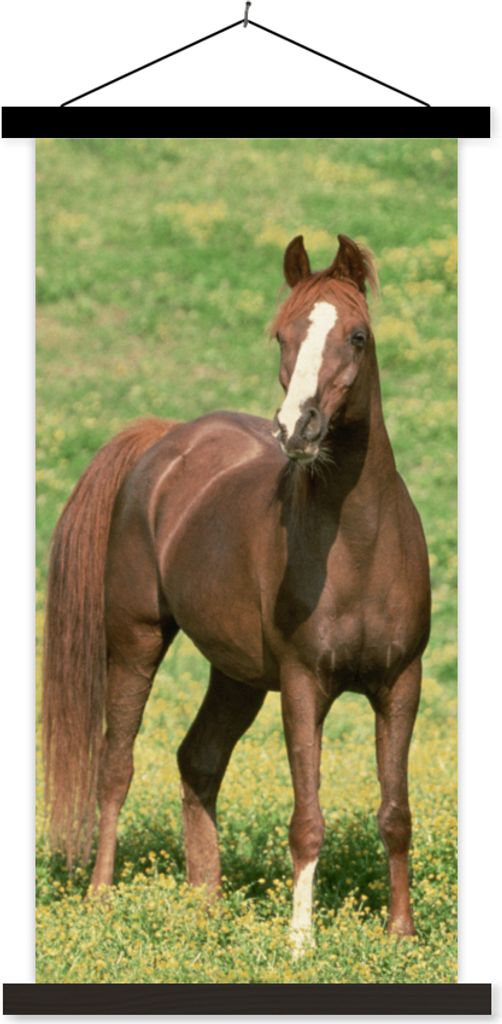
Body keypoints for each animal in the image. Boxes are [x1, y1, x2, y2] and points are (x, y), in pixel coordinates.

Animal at [42, 233, 431, 953]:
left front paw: (401, 936)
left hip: (238, 674)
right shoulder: (305, 685)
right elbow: (308, 817)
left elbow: (396, 812)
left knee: (199, 760)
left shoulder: (401, 683)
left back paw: (207, 909)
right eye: (282, 334)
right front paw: (301, 943)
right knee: (116, 766)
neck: (360, 548)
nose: (298, 429)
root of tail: (166, 438)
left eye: (358, 336)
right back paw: (102, 899)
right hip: (135, 640)